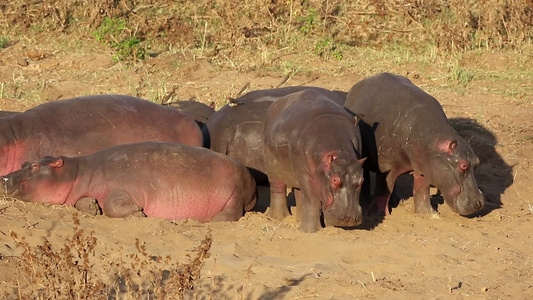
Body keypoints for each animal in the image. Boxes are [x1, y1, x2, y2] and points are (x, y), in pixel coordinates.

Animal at [0, 142, 258, 221]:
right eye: (24, 162)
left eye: (34, 166)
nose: (4, 178)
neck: (77, 173)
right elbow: (83, 202)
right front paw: (92, 207)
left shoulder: (123, 188)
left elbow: (113, 204)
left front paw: (138, 212)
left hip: (233, 192)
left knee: (232, 213)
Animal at [260, 89, 364, 232]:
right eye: (334, 180)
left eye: (362, 180)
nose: (349, 219)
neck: (340, 154)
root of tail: (275, 105)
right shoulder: (305, 173)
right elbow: (312, 200)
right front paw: (309, 231)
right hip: (273, 168)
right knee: (277, 188)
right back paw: (278, 217)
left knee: (299, 194)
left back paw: (298, 220)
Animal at [342, 72, 484, 216]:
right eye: (463, 165)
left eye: (478, 162)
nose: (479, 203)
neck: (433, 141)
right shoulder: (386, 165)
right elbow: (382, 189)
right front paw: (378, 214)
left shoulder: (425, 168)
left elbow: (422, 191)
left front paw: (429, 215)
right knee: (367, 177)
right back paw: (366, 203)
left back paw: (395, 201)